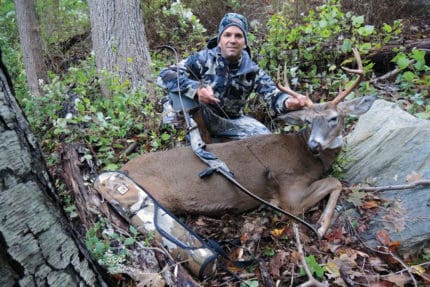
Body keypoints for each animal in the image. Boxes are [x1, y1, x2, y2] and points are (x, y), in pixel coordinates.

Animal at [121, 49, 376, 238]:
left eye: (334, 118)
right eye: (309, 121)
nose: (315, 145)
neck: (308, 159)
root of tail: (122, 169)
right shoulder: (290, 194)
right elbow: (334, 181)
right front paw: (321, 226)